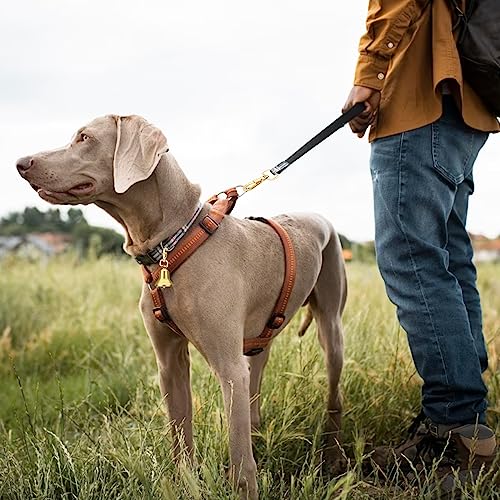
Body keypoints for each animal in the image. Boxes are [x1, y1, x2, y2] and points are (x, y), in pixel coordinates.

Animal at [15, 115, 344, 498]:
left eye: (84, 138)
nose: (20, 163)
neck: (171, 244)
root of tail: (319, 216)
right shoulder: (169, 363)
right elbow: (180, 437)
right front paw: (186, 482)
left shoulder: (229, 368)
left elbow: (240, 459)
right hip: (259, 341)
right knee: (256, 387)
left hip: (331, 327)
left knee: (333, 394)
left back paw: (334, 454)